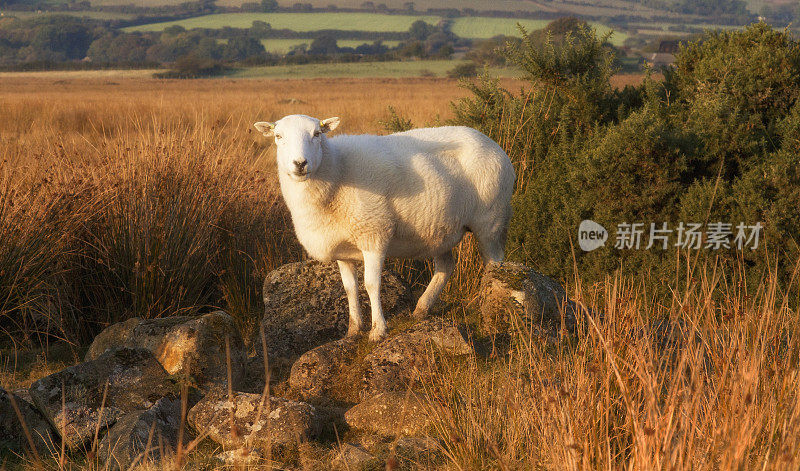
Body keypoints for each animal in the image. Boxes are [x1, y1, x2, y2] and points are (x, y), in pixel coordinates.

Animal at [258, 115, 520, 342]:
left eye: (317, 134)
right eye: (278, 136)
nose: (300, 164)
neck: (337, 170)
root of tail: (490, 141)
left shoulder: (374, 234)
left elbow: (371, 284)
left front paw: (378, 330)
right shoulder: (342, 249)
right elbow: (350, 289)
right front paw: (353, 330)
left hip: (491, 218)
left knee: (495, 266)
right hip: (440, 229)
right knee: (446, 267)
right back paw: (422, 308)